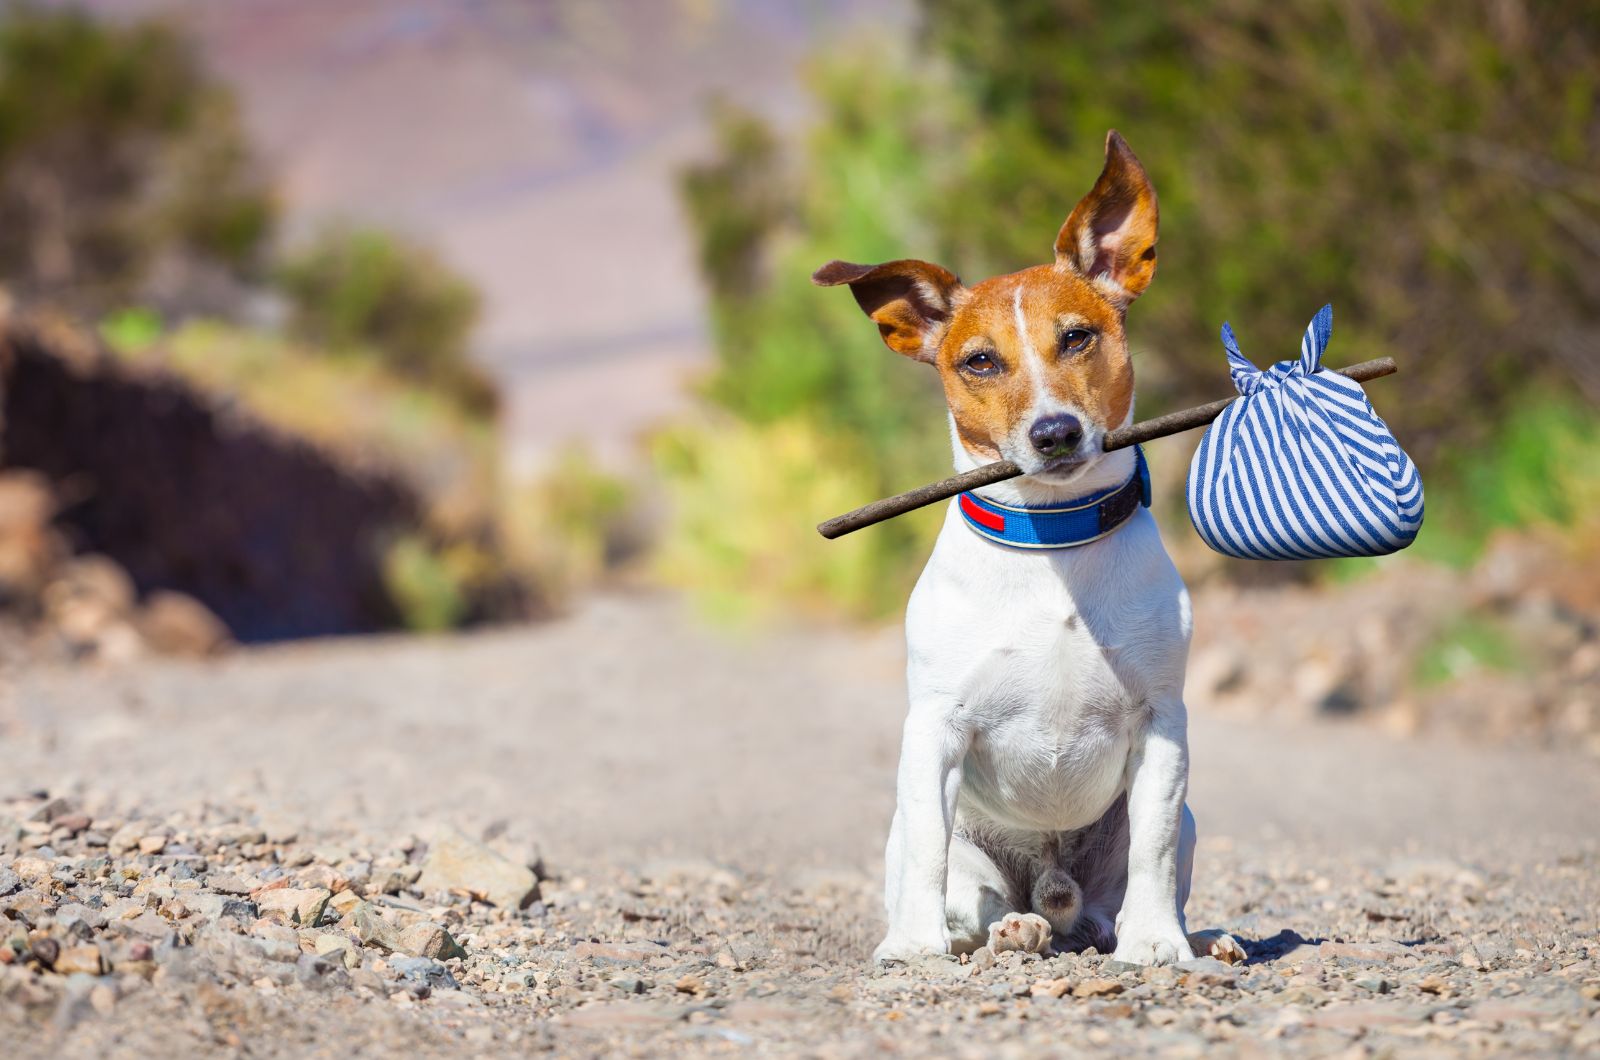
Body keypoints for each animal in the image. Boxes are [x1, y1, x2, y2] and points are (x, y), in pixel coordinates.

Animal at [812, 128, 1235, 967]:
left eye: (1076, 337)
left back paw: (1188, 934)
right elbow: (930, 852)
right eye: (980, 361)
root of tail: (1053, 891)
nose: (1055, 433)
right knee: (968, 898)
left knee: (1118, 898)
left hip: (1178, 825)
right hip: (945, 846)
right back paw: (1007, 929)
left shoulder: (1163, 725)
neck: (1053, 541)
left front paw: (1159, 944)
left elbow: (1153, 848)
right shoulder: (934, 730)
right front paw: (913, 948)